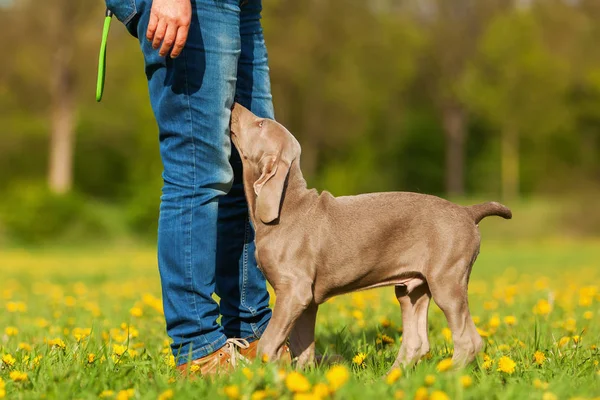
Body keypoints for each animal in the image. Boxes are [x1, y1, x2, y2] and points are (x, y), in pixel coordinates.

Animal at [230, 102, 510, 368]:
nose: (233, 105)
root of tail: (468, 211)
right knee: (417, 343)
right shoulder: (307, 302)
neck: (288, 205)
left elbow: (269, 343)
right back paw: (392, 378)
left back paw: (447, 375)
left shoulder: (295, 291)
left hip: (447, 281)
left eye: (260, 123)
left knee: (469, 341)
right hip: (412, 288)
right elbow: (301, 349)